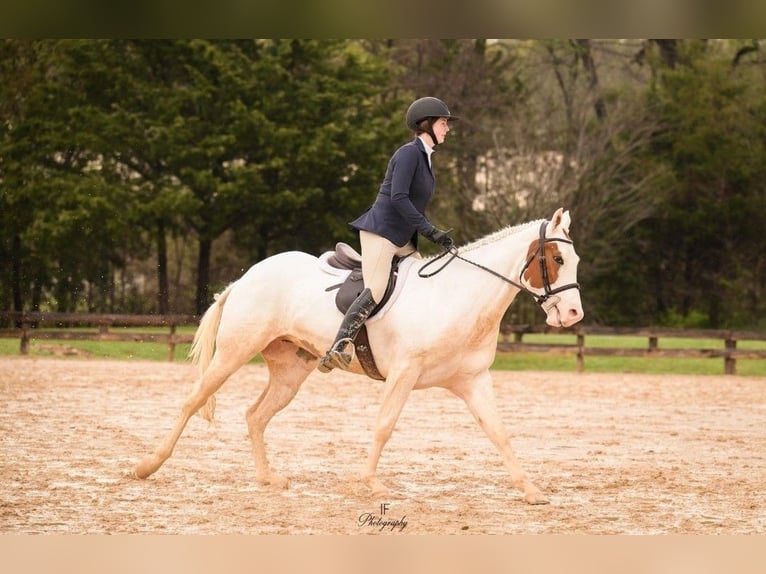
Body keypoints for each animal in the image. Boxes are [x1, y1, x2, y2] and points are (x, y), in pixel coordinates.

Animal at [133, 207, 584, 504]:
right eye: (557, 259)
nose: (573, 315)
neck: (458, 296)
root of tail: (245, 278)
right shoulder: (404, 374)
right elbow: (384, 426)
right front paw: (371, 482)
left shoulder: (472, 381)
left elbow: (499, 432)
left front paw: (531, 490)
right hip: (233, 352)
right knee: (192, 401)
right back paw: (147, 466)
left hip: (290, 371)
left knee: (255, 416)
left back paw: (267, 479)